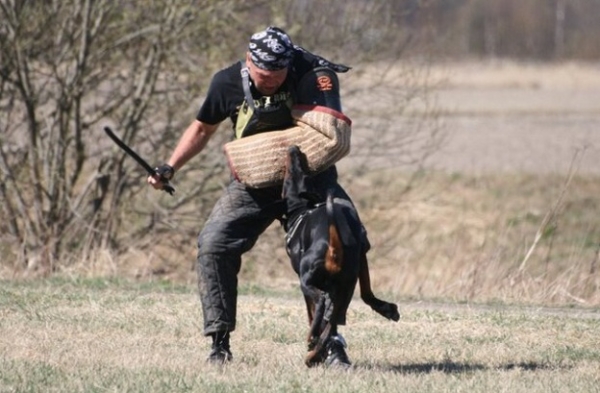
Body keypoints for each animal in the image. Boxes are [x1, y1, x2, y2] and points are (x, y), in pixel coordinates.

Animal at [280, 145, 398, 366]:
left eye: (288, 175)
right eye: (303, 172)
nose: (294, 148)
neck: (303, 208)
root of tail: (333, 249)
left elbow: (311, 313)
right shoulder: (362, 256)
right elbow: (366, 291)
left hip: (307, 281)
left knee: (320, 306)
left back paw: (311, 343)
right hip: (346, 286)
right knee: (331, 323)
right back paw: (314, 353)